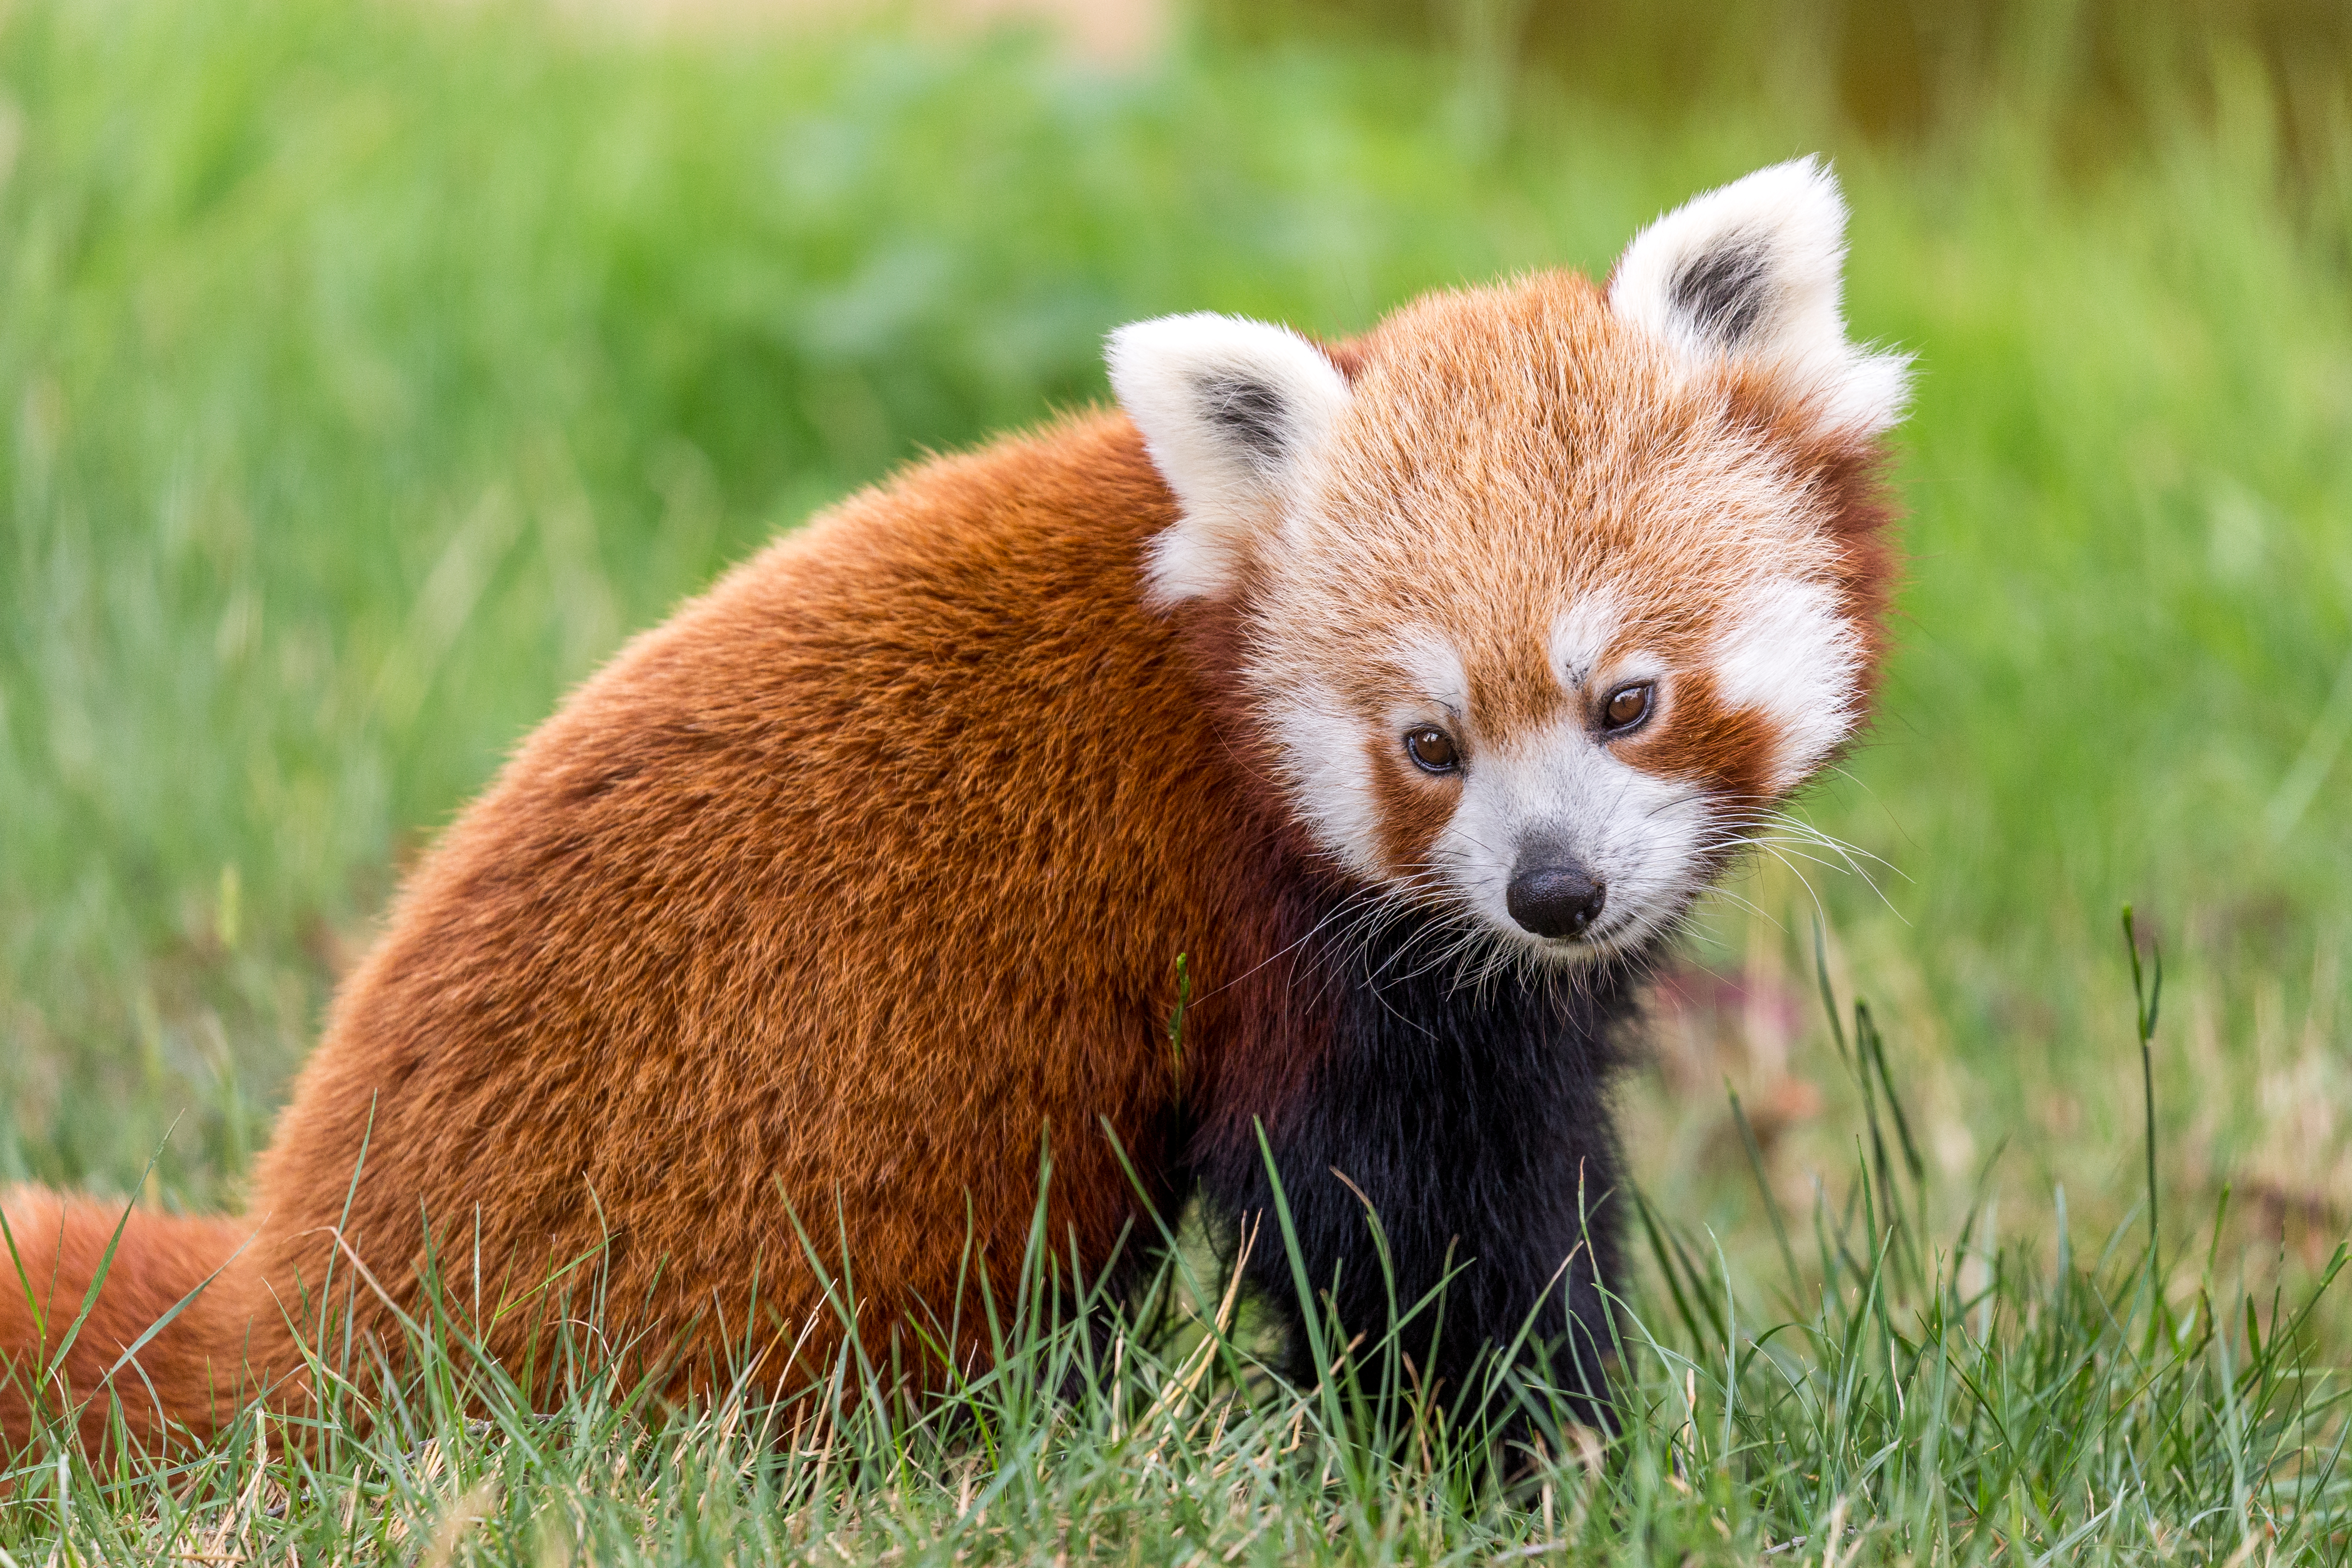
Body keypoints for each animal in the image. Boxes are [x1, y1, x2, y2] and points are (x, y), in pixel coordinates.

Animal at [4, 162, 1909, 1457]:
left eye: (1625, 698)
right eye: (1428, 742)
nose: (1552, 889)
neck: (1216, 695)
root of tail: (290, 1294)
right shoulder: (1298, 951)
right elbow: (1416, 1236)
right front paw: (1524, 1455)